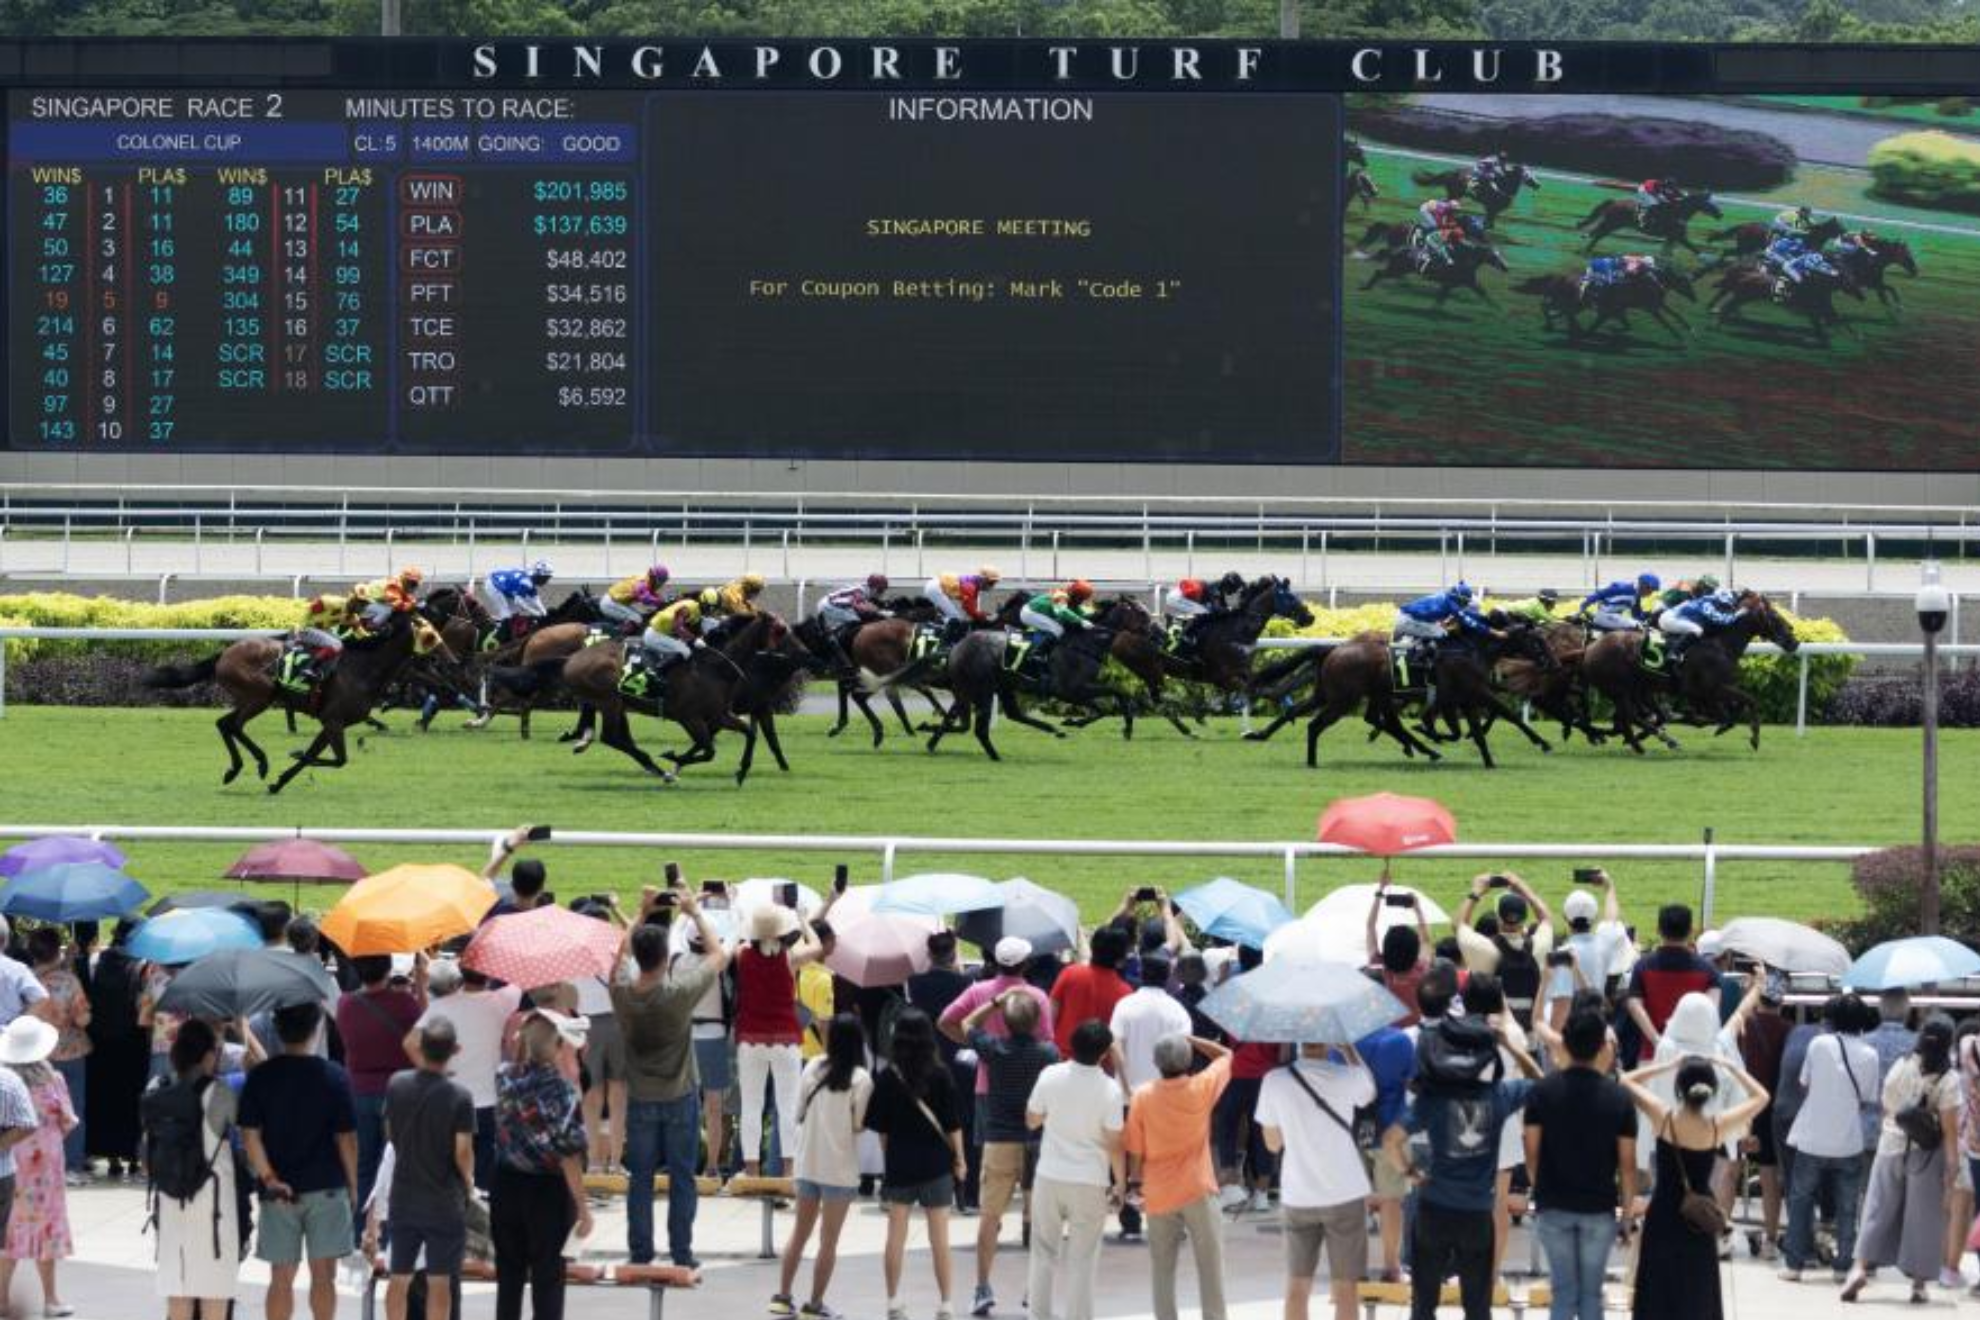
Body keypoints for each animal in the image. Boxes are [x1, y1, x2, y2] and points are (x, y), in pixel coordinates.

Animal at [144, 613, 457, 791]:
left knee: (225, 724)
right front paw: (291, 758)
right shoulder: (333, 721)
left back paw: (239, 769)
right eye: (431, 636)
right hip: (260, 696)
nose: (452, 661)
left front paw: (279, 782)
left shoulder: (331, 723)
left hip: (254, 698)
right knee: (232, 725)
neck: (364, 668)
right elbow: (336, 759)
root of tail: (225, 653)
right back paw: (257, 763)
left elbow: (323, 757)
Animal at [1576, 191, 1718, 257]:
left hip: (1612, 224)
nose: (1720, 214)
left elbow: (1667, 251)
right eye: (1709, 203)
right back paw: (1586, 249)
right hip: (1612, 223)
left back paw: (1587, 248)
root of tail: (1614, 201)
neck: (1678, 211)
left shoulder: (1672, 237)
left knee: (1598, 233)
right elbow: (1695, 249)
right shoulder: (1679, 237)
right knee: (1598, 233)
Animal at [1576, 589, 1797, 752]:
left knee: (1626, 717)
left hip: (1631, 689)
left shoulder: (1707, 694)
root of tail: (1590, 648)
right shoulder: (1709, 690)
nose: (1793, 640)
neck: (1719, 644)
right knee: (1629, 715)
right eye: (1775, 616)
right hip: (1619, 689)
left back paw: (1636, 740)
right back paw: (1647, 740)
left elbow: (1729, 714)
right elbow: (1746, 703)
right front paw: (1754, 739)